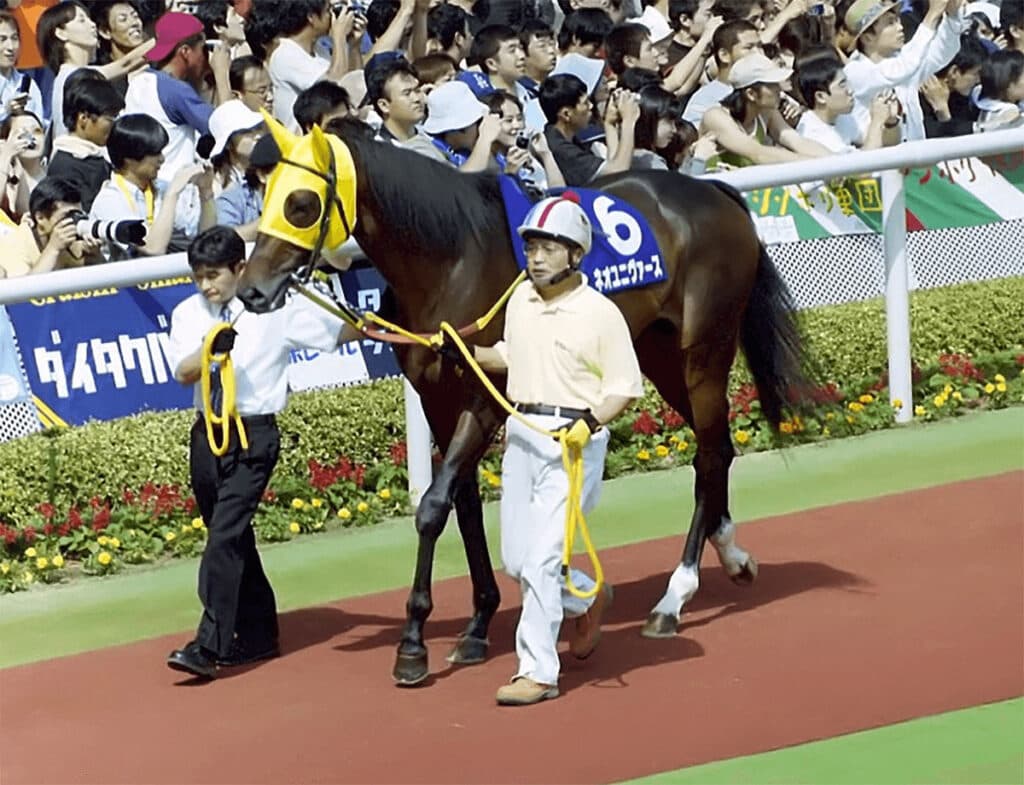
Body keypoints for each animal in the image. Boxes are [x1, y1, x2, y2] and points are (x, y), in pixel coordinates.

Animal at [237, 115, 811, 687]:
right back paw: (731, 552)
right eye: (264, 195)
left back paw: (675, 596)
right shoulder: (436, 398)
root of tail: (713, 191)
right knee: (717, 449)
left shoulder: (486, 396)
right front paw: (476, 624)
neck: (449, 259)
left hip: (704, 350)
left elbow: (433, 506)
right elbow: (463, 504)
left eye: (302, 203)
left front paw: (413, 644)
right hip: (657, 351)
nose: (250, 290)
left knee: (710, 453)